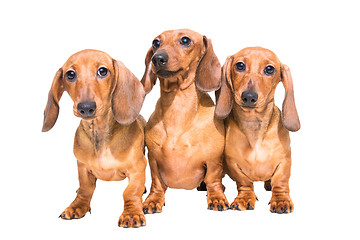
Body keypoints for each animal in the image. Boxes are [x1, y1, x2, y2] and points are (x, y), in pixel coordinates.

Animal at [43, 49, 147, 227]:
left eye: (103, 71)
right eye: (70, 74)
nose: (86, 107)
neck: (100, 134)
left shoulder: (137, 168)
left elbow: (131, 192)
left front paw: (131, 213)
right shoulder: (82, 167)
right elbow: (85, 189)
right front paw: (77, 206)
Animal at [140, 29, 228, 213]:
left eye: (185, 40)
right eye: (155, 43)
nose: (157, 58)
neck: (178, 109)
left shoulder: (213, 160)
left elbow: (213, 180)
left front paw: (216, 197)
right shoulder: (153, 158)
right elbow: (156, 182)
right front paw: (153, 200)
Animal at [214, 47, 300, 214]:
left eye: (269, 69)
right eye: (240, 65)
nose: (248, 96)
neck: (253, 126)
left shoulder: (284, 161)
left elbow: (281, 181)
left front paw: (281, 200)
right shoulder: (233, 163)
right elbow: (244, 182)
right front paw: (245, 198)